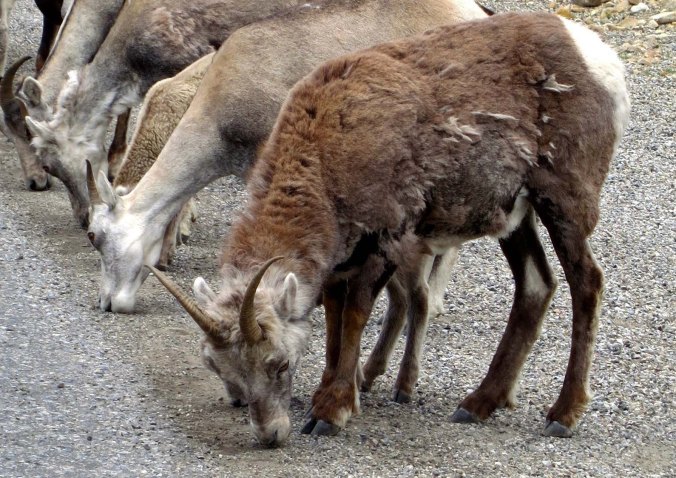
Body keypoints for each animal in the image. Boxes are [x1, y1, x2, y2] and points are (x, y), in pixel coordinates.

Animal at [147, 11, 630, 446]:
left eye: (279, 364)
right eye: (220, 368)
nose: (269, 436)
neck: (325, 154)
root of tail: (599, 58)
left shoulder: (384, 239)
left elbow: (355, 317)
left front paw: (332, 412)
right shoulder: (342, 259)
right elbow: (335, 320)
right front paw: (328, 396)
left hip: (562, 202)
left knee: (586, 283)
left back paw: (563, 415)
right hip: (514, 216)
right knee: (535, 285)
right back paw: (477, 405)